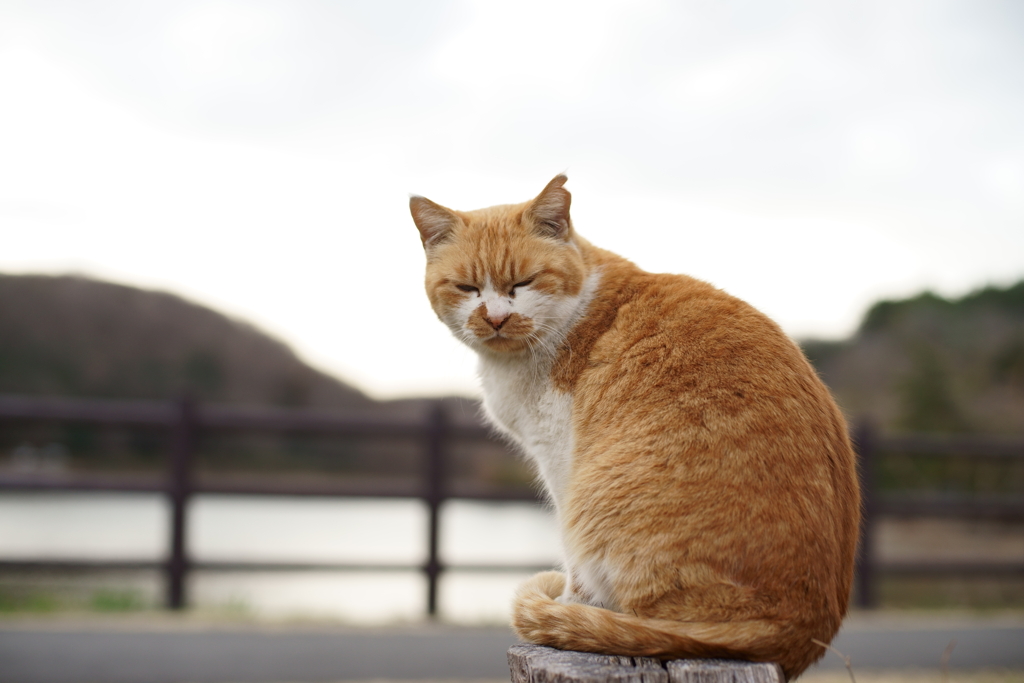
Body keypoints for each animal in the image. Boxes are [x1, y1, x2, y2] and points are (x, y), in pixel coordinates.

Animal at [411, 175, 860, 679]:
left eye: (524, 282)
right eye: (467, 288)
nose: (495, 318)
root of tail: (798, 628)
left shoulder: (561, 460)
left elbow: (572, 567)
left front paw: (572, 603)